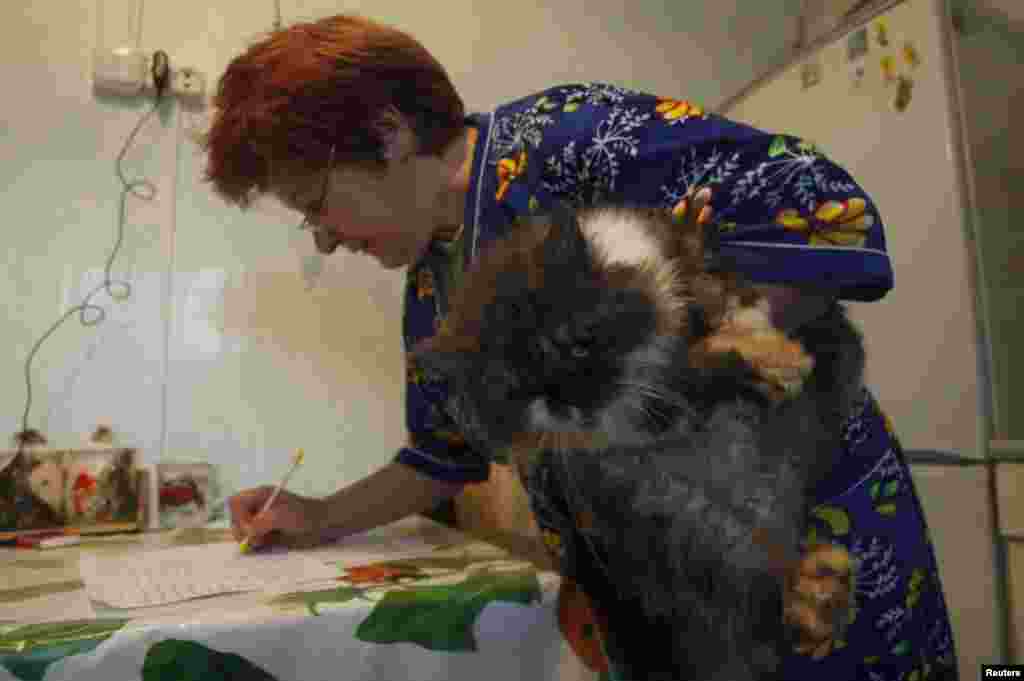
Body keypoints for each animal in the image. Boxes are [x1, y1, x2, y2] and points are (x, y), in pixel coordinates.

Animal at [413, 197, 864, 679]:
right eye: (517, 388)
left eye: (577, 343)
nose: (574, 402)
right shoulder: (648, 419)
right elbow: (695, 376)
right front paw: (746, 364)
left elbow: (733, 300)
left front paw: (773, 356)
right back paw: (817, 591)